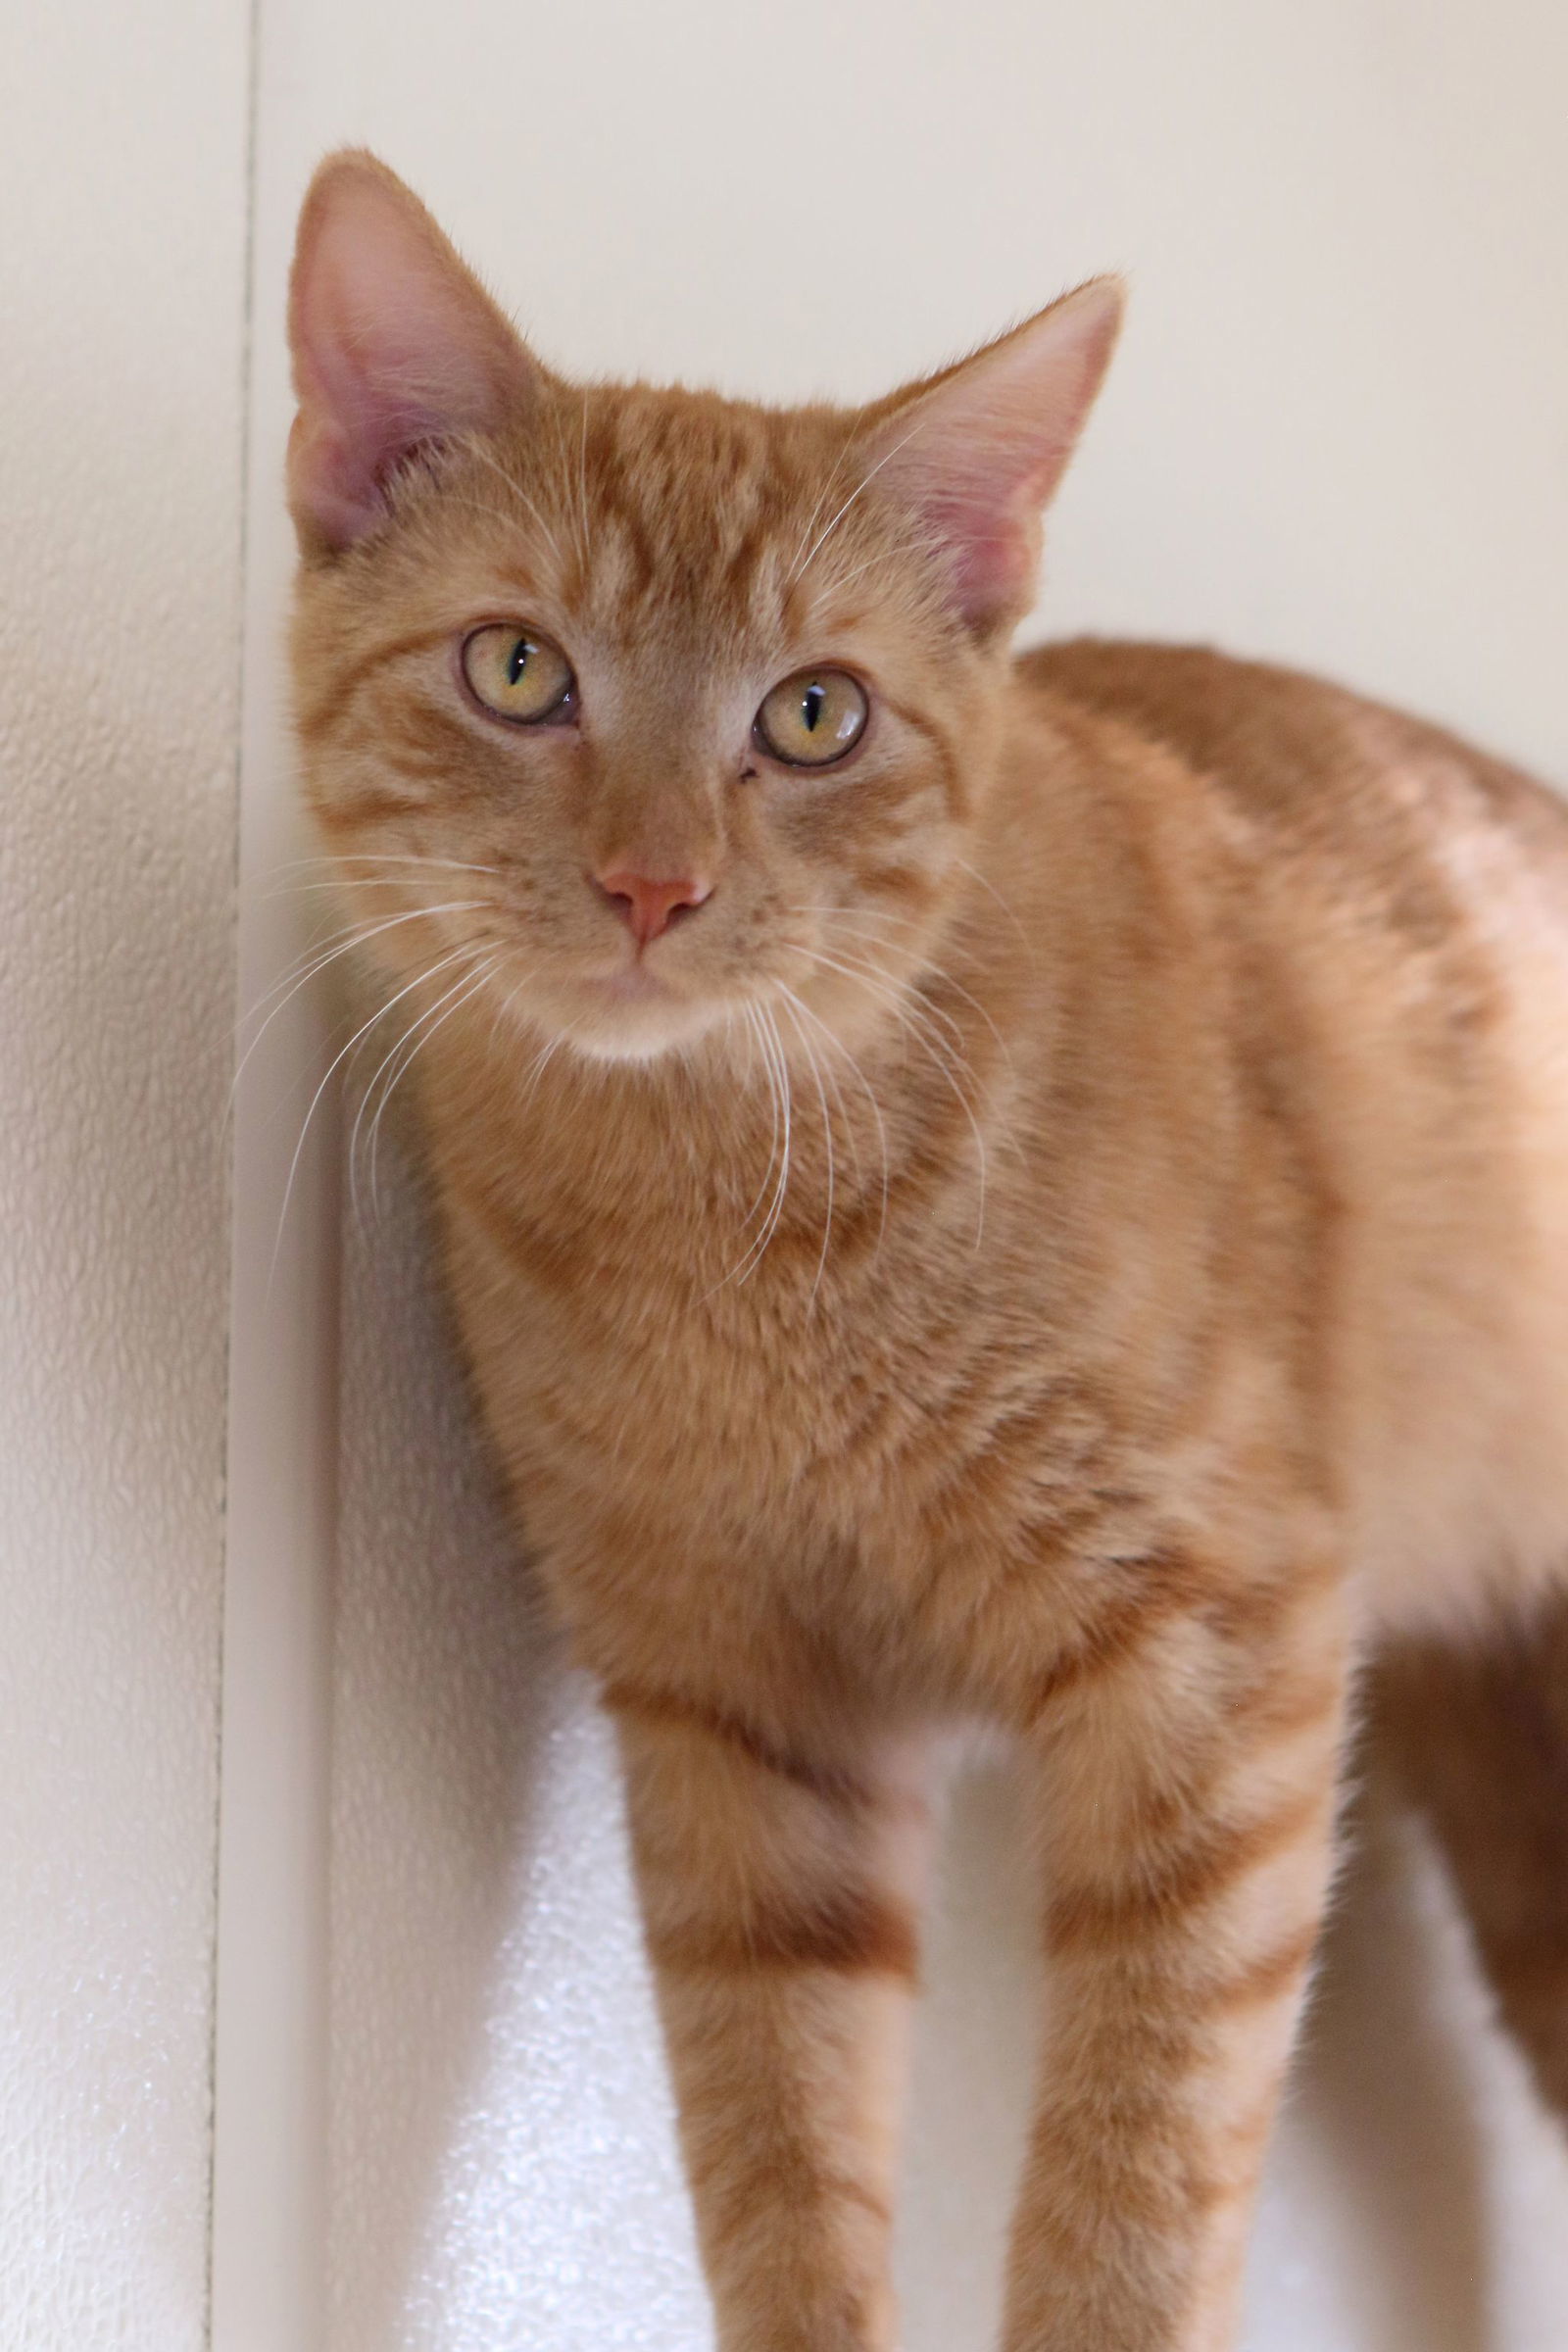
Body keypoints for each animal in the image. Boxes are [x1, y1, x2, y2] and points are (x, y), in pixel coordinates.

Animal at [287, 151, 1568, 2352]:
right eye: (521, 671)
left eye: (812, 716)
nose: (652, 883)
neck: (732, 1235)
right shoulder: (742, 1725)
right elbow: (778, 2157)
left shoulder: (1220, 1667)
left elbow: (1132, 2181)